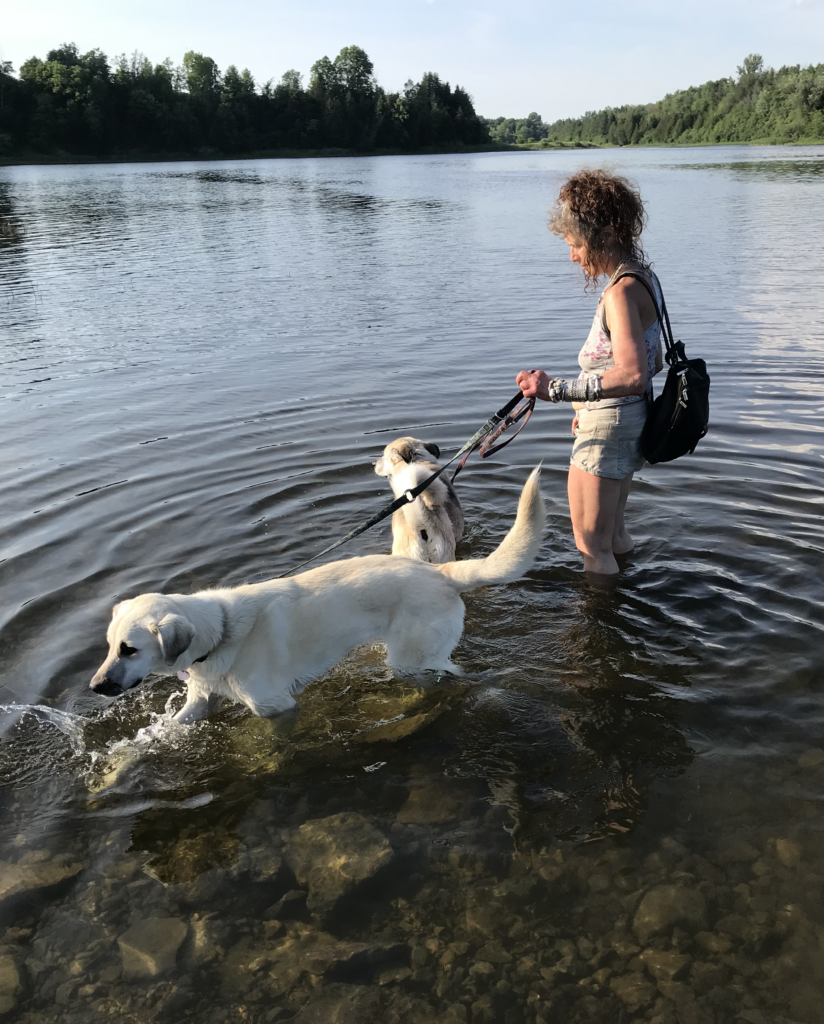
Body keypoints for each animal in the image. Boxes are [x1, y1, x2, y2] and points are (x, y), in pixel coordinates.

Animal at [90, 468, 544, 724]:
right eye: (110, 646)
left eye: (130, 649)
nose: (95, 686)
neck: (219, 633)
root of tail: (441, 573)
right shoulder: (200, 703)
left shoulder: (276, 707)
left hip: (412, 661)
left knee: (454, 674)